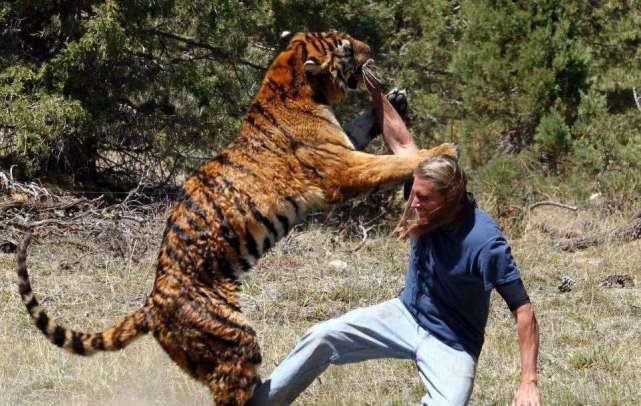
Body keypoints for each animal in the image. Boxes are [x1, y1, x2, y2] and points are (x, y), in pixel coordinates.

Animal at [16, 31, 456, 405]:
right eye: (346, 47)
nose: (370, 52)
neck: (291, 83)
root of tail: (152, 304)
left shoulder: (344, 147)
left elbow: (363, 128)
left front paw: (395, 100)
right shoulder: (341, 169)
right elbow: (387, 164)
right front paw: (441, 150)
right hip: (233, 340)